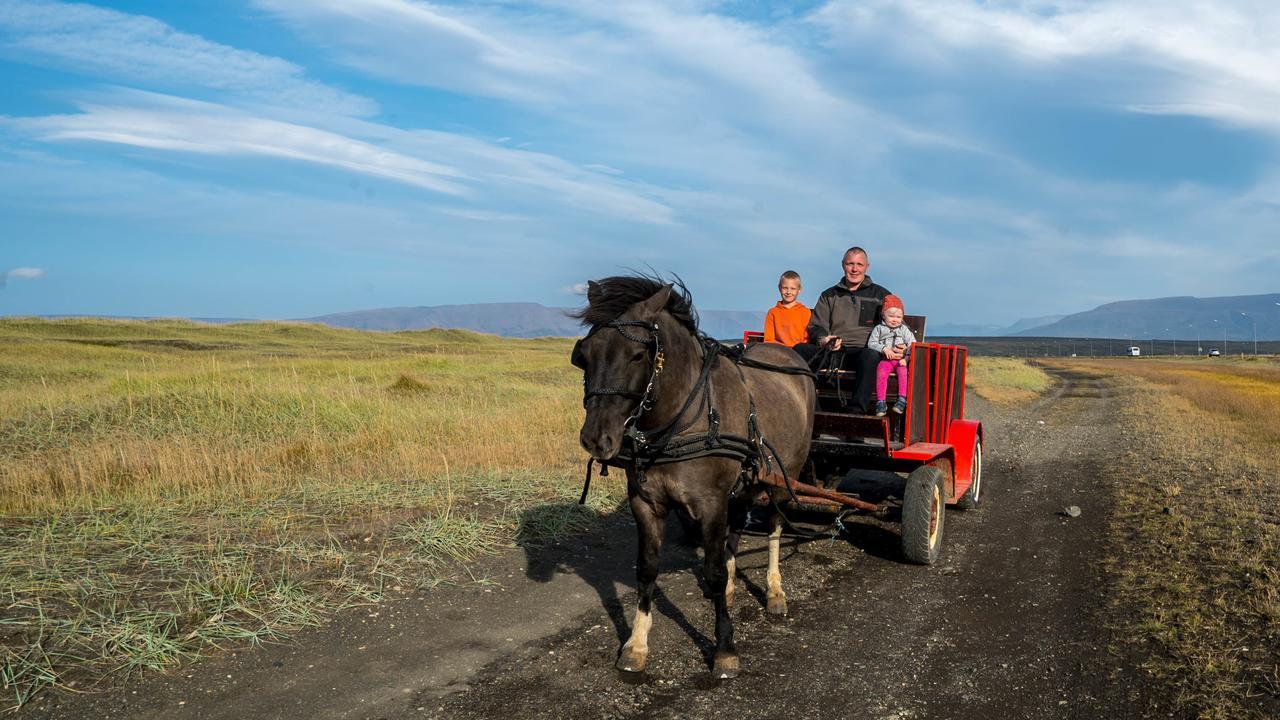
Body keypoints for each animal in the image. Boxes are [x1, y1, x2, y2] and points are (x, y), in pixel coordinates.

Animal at [573, 271, 814, 676]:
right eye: (584, 354)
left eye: (638, 354)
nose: (596, 439)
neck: (681, 419)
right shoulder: (645, 503)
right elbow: (647, 569)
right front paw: (636, 644)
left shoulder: (711, 502)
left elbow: (713, 568)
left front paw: (724, 647)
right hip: (747, 479)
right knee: (738, 523)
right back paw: (732, 586)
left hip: (785, 476)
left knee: (775, 527)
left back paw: (775, 591)